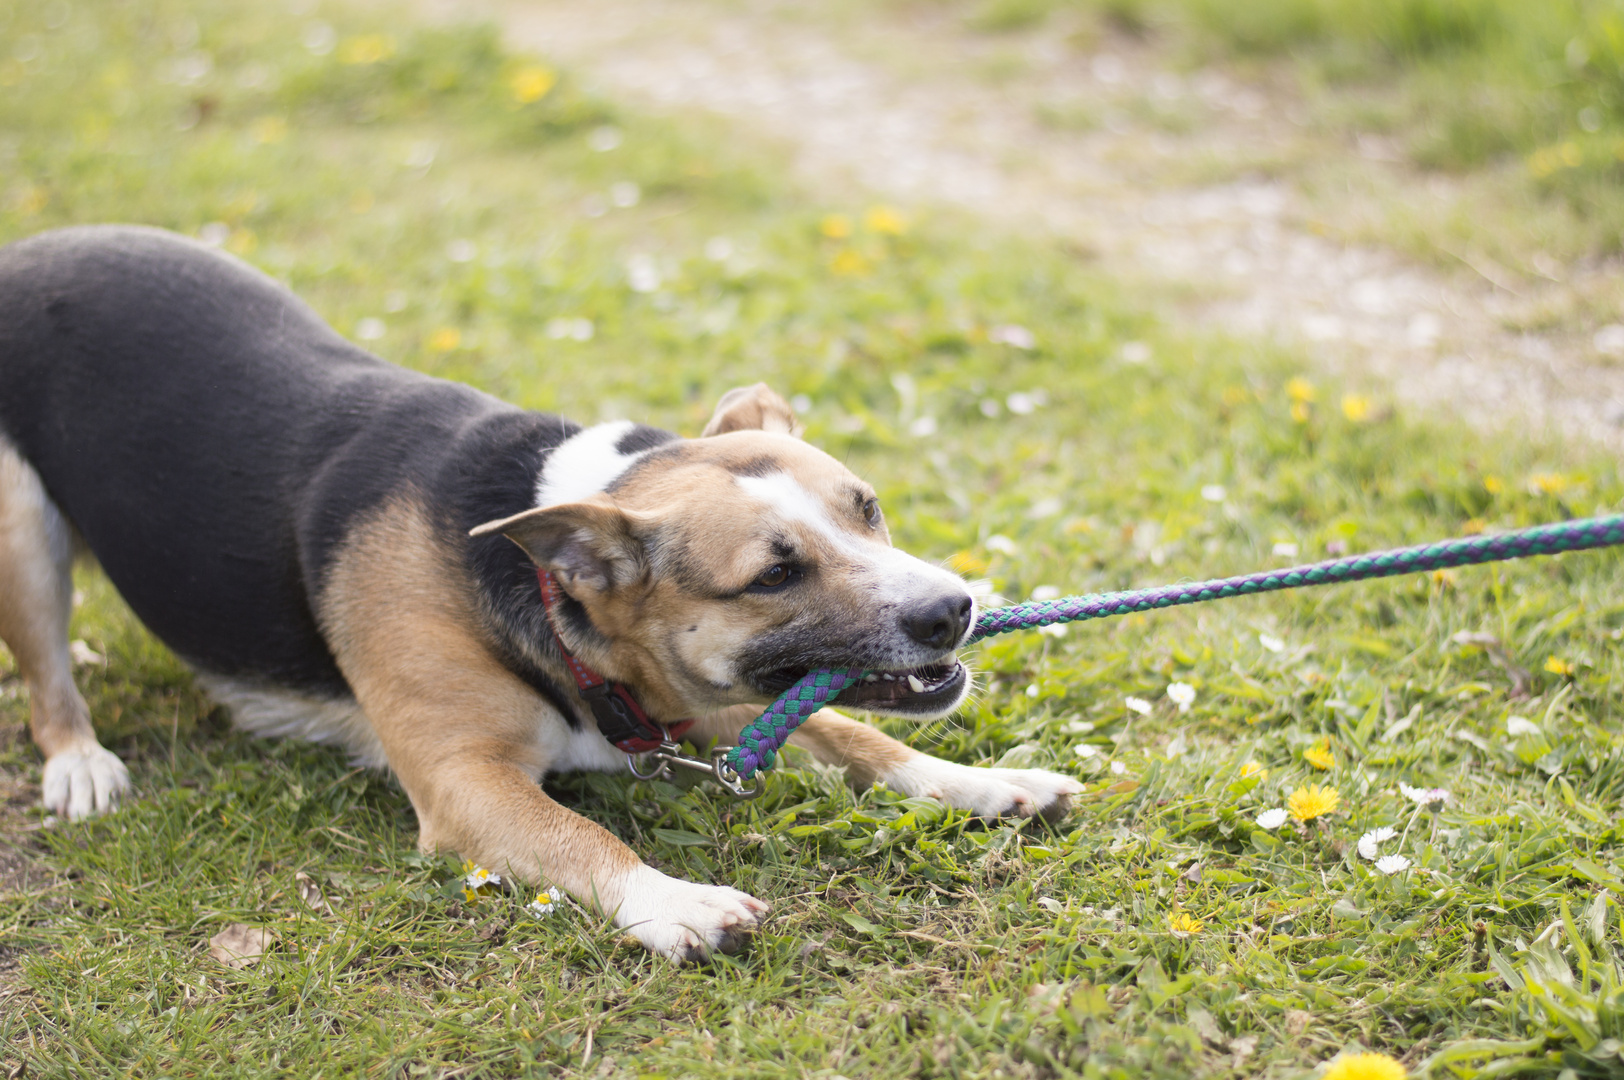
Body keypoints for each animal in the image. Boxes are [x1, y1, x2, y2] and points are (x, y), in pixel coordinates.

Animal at [0, 225, 1078, 961]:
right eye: (773, 574)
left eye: (868, 508)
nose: (955, 609)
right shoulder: (462, 781)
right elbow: (577, 833)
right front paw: (673, 901)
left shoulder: (703, 704)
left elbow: (859, 737)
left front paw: (983, 785)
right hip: (22, 529)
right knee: (48, 681)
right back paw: (81, 762)